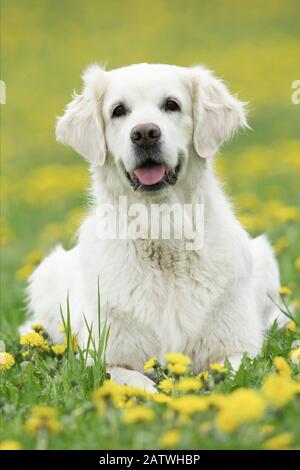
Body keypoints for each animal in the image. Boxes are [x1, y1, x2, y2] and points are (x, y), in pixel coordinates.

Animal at [21, 63, 282, 392]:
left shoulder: (238, 349)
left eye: (172, 104)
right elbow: (140, 385)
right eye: (118, 110)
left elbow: (225, 377)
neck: (162, 231)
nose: (145, 133)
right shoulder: (105, 361)